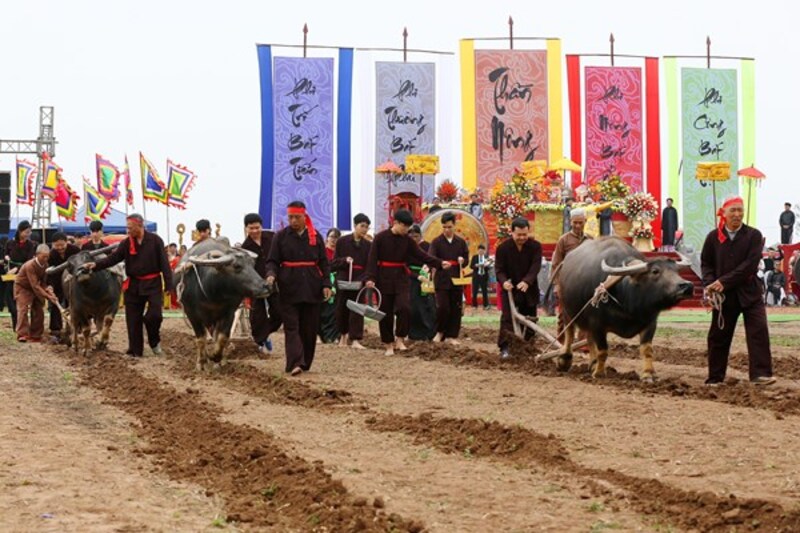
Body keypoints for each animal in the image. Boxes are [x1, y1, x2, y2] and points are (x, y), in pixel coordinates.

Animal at [175, 238, 272, 370]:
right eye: (237, 266)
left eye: (253, 264)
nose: (266, 286)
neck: (212, 294)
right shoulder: (192, 314)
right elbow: (200, 339)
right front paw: (201, 362)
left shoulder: (229, 313)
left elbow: (222, 337)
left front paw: (216, 357)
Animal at [556, 235, 692, 380]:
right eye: (655, 271)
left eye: (677, 270)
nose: (687, 286)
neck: (629, 303)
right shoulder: (597, 324)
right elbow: (603, 350)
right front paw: (599, 373)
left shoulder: (650, 323)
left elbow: (647, 349)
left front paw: (648, 374)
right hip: (566, 309)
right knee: (569, 332)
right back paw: (565, 359)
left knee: (588, 337)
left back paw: (592, 363)